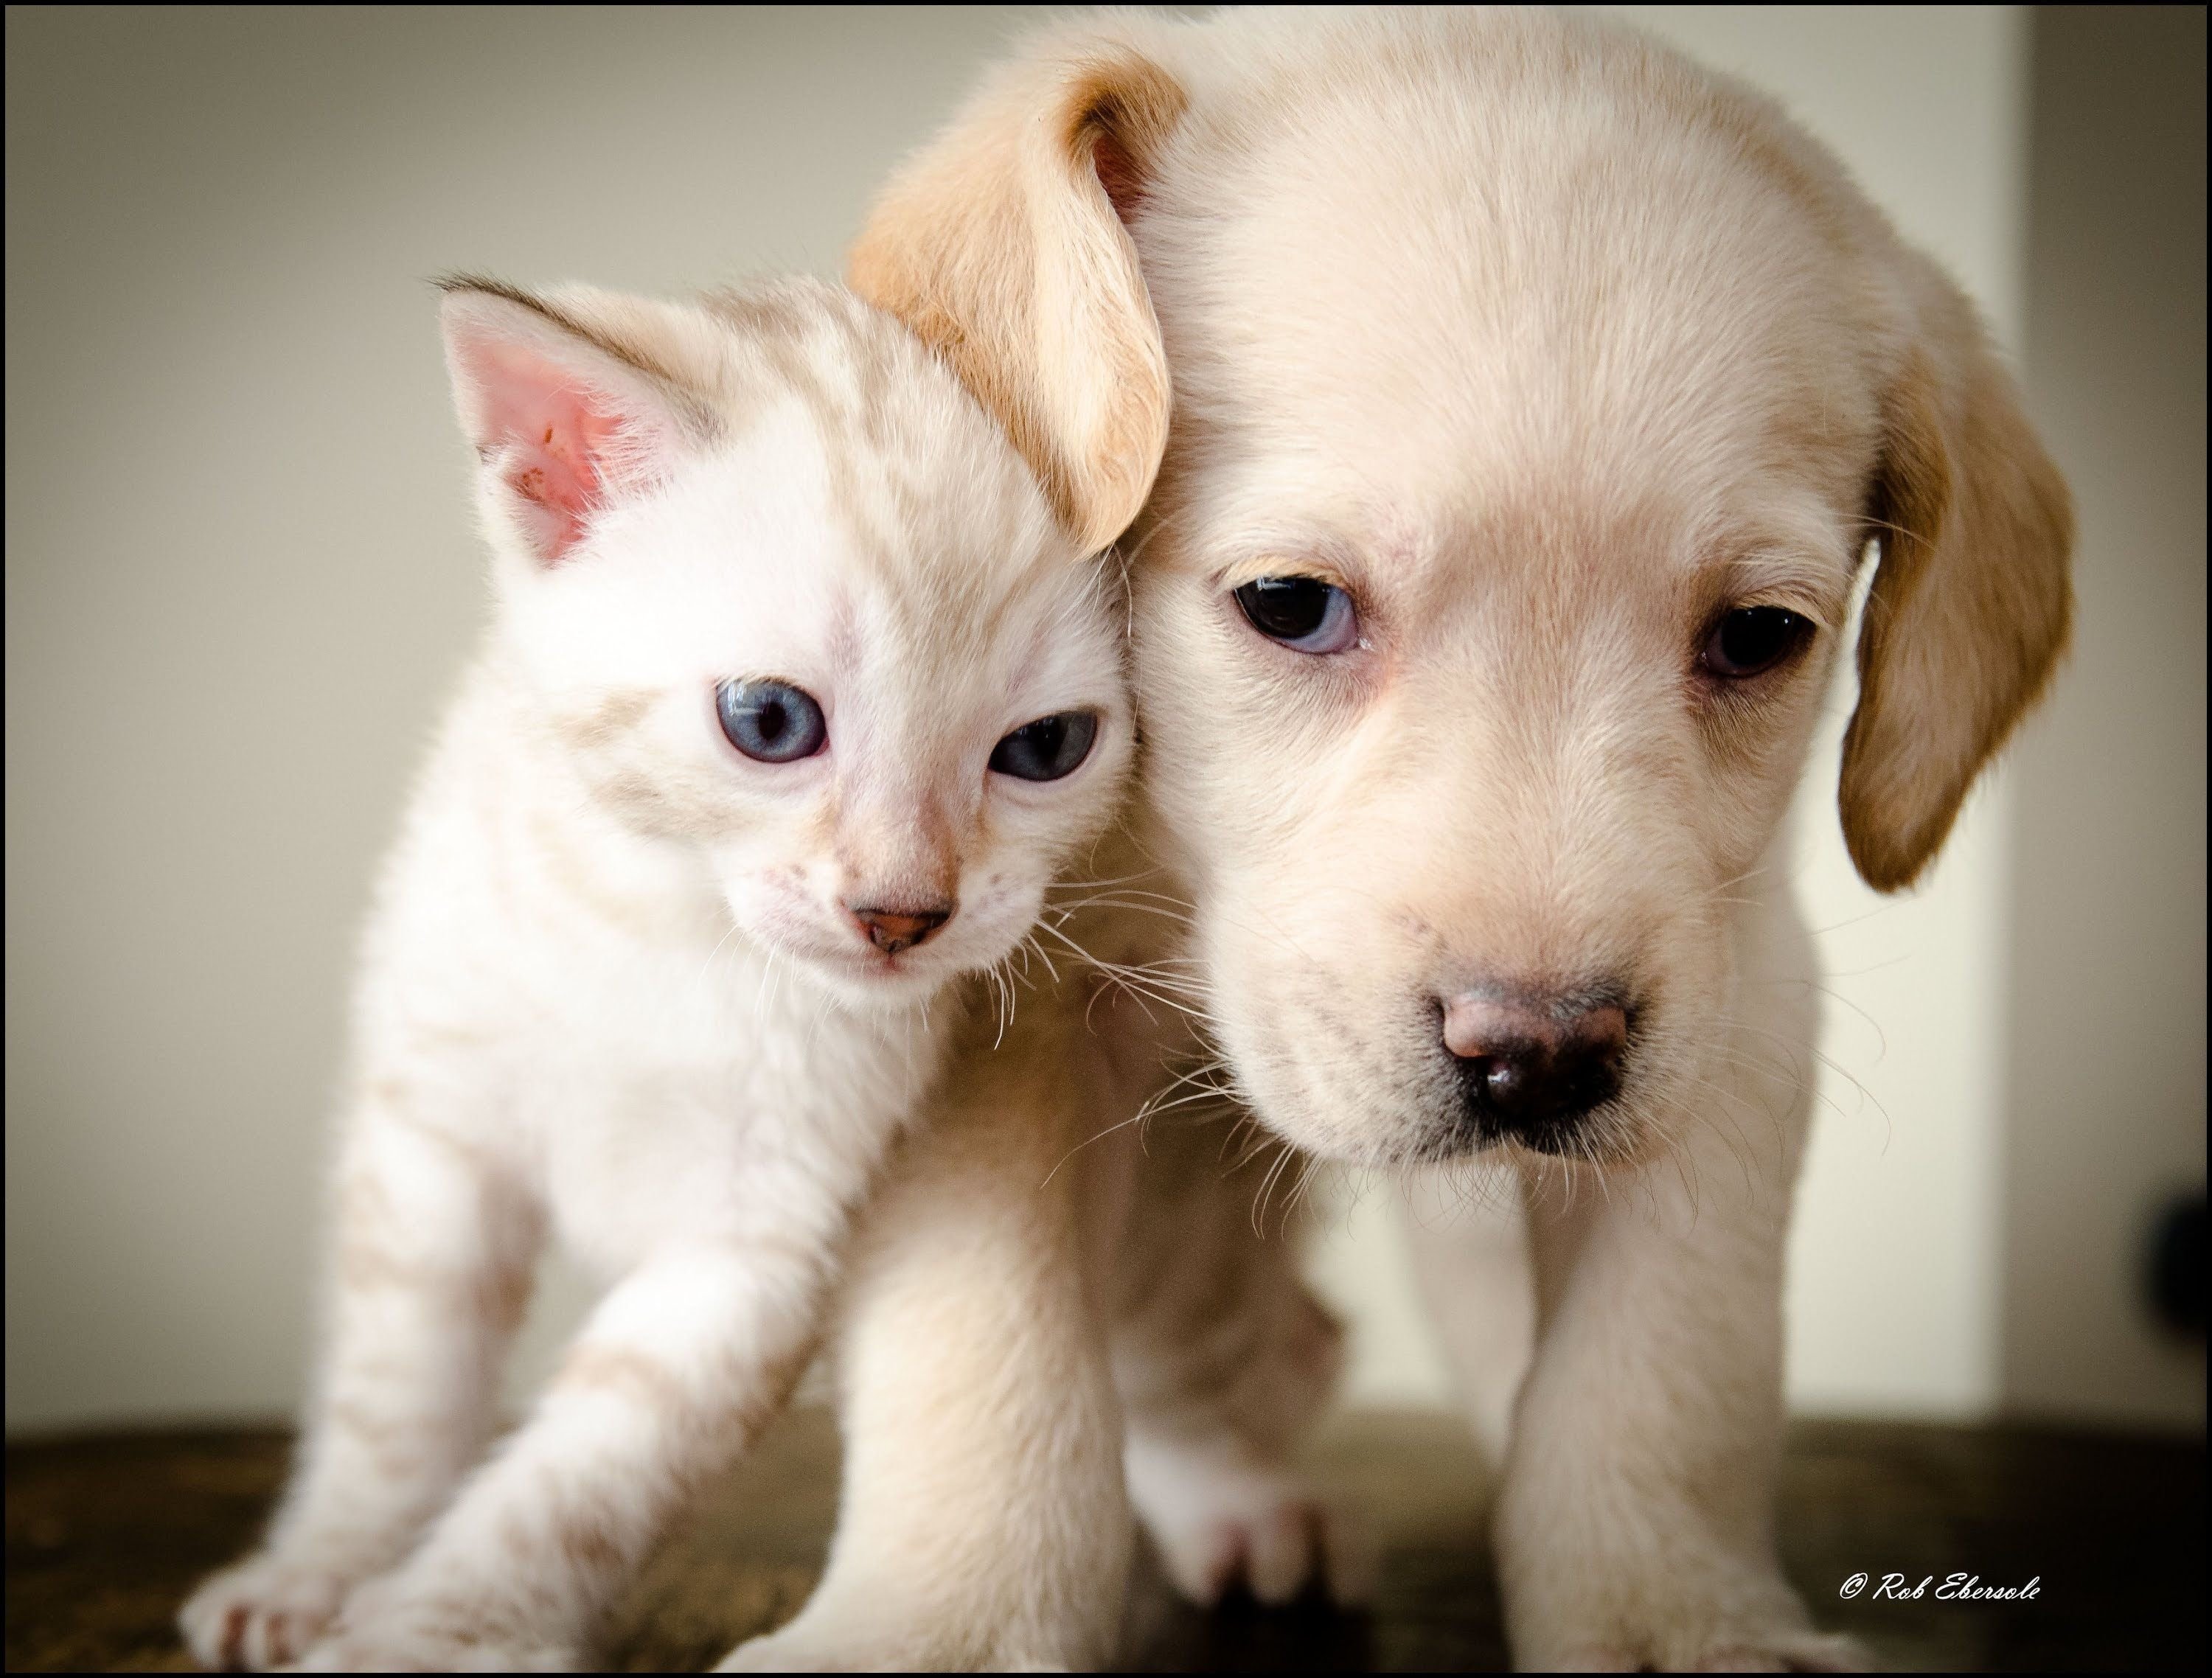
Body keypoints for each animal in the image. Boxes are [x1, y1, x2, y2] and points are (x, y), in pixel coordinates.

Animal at [179, 271, 1133, 1671]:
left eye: (1048, 746)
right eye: (770, 722)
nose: (901, 915)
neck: (663, 926)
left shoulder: (749, 1252)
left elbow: (573, 1486)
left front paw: (425, 1633)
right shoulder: (434, 1143)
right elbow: (395, 1400)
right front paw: (323, 1570)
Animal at [726, 6, 2070, 1671]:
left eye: (1760, 636)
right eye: (1292, 605)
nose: (1540, 1060)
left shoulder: (1737, 1003)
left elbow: (1664, 1365)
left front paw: (1668, 1611)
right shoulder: (973, 1007)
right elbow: (989, 1347)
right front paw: (941, 1623)